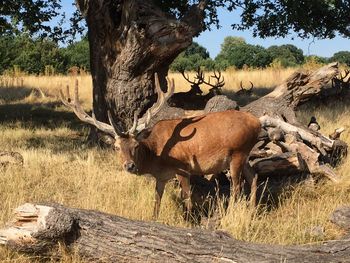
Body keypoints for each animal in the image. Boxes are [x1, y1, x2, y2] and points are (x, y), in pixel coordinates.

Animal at [61, 75, 262, 220]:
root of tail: (257, 122)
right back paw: (253, 210)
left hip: (237, 153)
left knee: (237, 187)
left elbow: (187, 197)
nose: (129, 165)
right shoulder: (161, 177)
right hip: (244, 155)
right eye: (116, 147)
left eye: (136, 145)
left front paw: (190, 220)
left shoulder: (183, 167)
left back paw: (232, 213)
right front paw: (154, 219)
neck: (156, 157)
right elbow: (157, 201)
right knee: (254, 178)